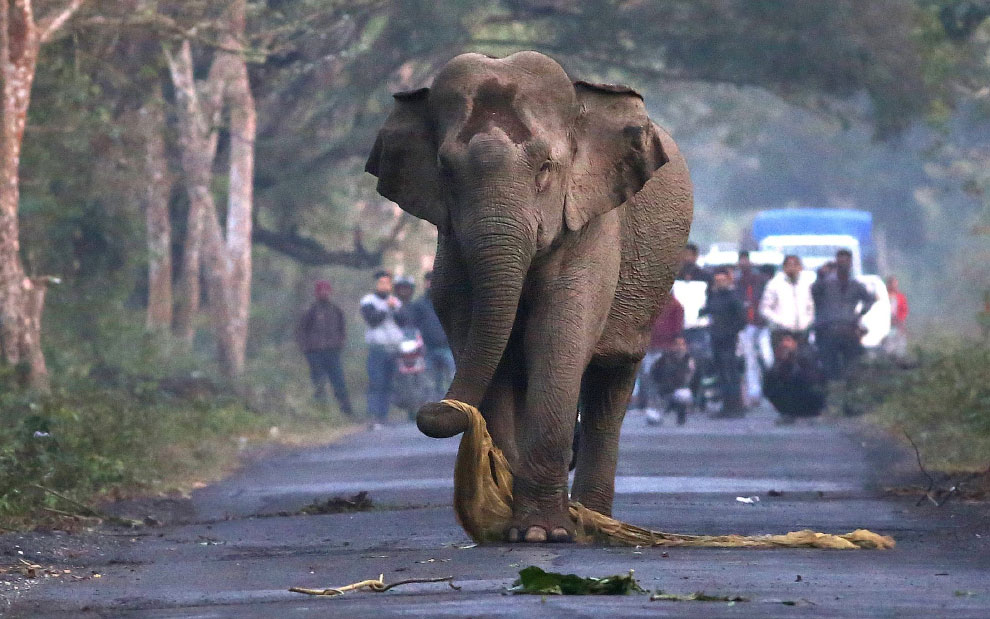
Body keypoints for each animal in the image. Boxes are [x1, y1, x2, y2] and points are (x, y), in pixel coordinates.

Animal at [366, 52, 696, 544]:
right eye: (445, 170)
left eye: (545, 168)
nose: (431, 410)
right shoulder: (450, 249)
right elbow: (485, 347)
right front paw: (513, 529)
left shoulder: (591, 224)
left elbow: (558, 337)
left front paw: (544, 533)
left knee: (611, 382)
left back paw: (593, 522)